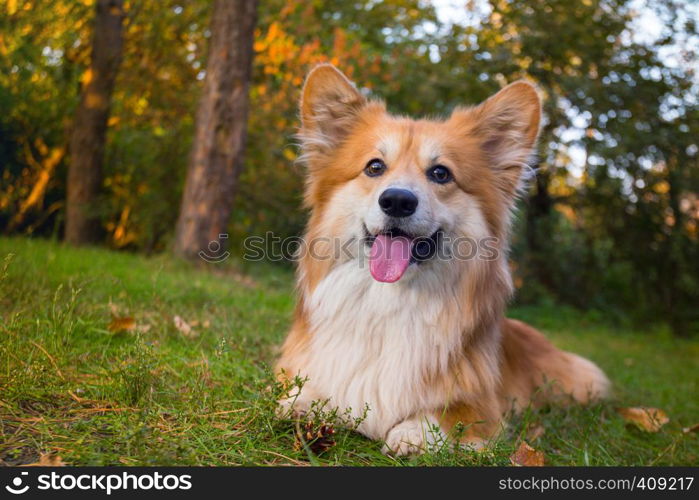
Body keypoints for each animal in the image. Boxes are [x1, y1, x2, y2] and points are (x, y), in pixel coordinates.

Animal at [276, 64, 608, 456]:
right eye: (374, 167)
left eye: (440, 173)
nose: (397, 201)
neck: (391, 299)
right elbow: (305, 391)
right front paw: (301, 402)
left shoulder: (484, 406)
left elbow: (451, 414)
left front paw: (413, 432)